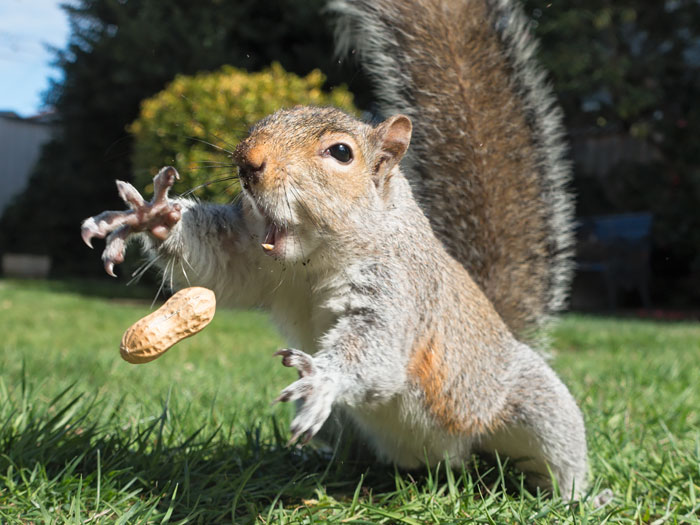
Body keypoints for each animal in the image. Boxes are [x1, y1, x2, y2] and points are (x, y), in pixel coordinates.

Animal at [81, 0, 588, 500]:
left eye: (341, 153)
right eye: (259, 123)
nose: (247, 161)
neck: (312, 261)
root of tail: (441, 464)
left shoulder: (399, 289)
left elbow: (377, 348)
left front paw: (325, 376)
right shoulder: (250, 258)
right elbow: (214, 266)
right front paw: (151, 216)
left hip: (532, 409)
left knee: (559, 457)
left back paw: (575, 495)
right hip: (345, 427)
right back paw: (315, 464)